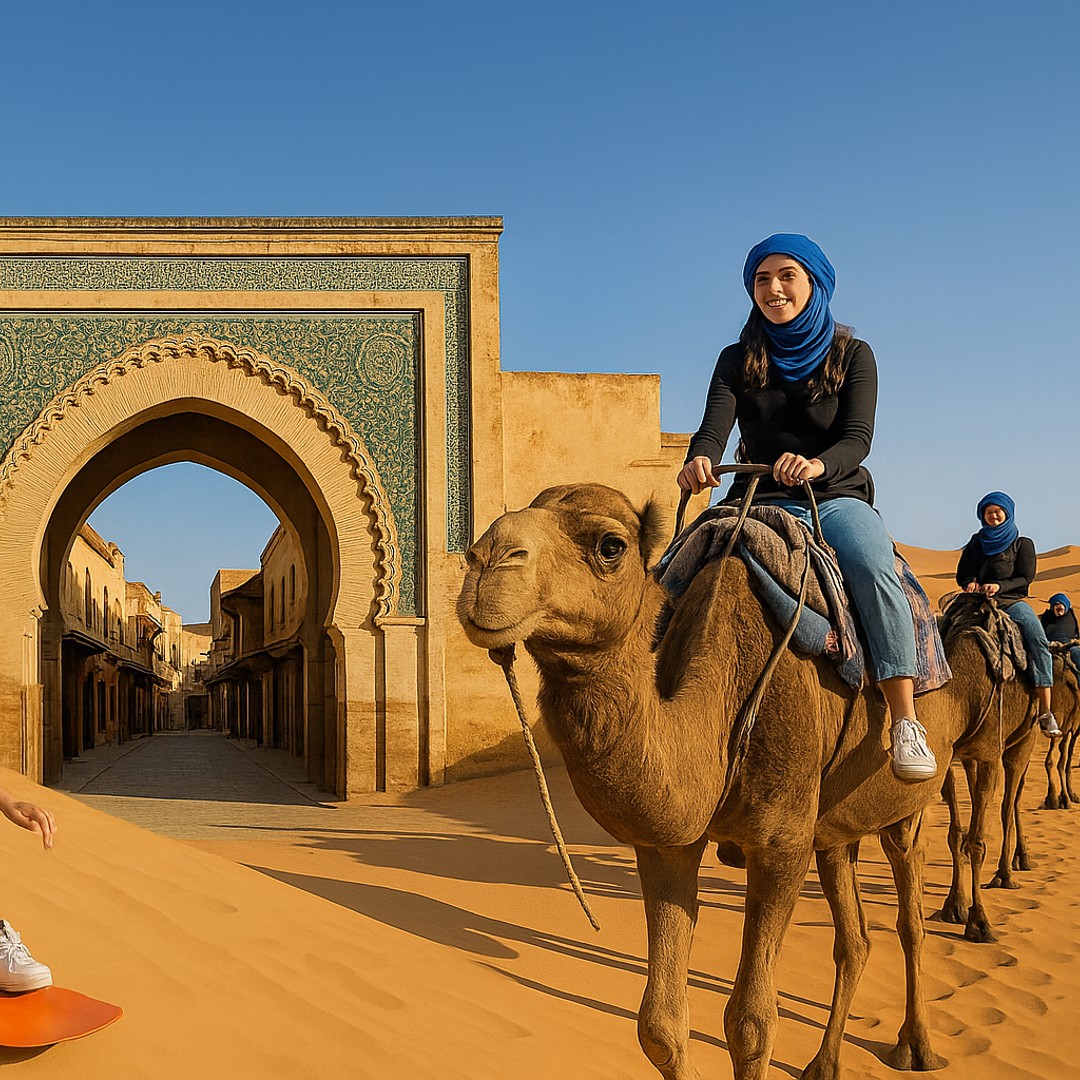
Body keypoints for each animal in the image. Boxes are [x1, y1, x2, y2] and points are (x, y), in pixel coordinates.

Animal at [458, 483, 1011, 1080]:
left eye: (610, 546)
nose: (485, 560)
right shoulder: (670, 844)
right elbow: (658, 1027)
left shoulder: (780, 843)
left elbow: (750, 1025)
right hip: (832, 830)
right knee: (855, 937)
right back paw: (824, 1064)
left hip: (907, 801)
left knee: (910, 919)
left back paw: (917, 1045)